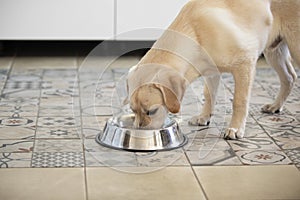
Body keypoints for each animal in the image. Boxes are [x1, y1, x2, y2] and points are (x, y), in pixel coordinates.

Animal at [125, 0, 298, 139]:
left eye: (151, 111)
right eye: (133, 110)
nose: (139, 134)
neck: (195, 33)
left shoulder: (245, 63)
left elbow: (239, 101)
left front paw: (235, 128)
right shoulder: (211, 72)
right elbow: (208, 95)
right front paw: (204, 116)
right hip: (274, 51)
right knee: (290, 77)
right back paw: (275, 106)